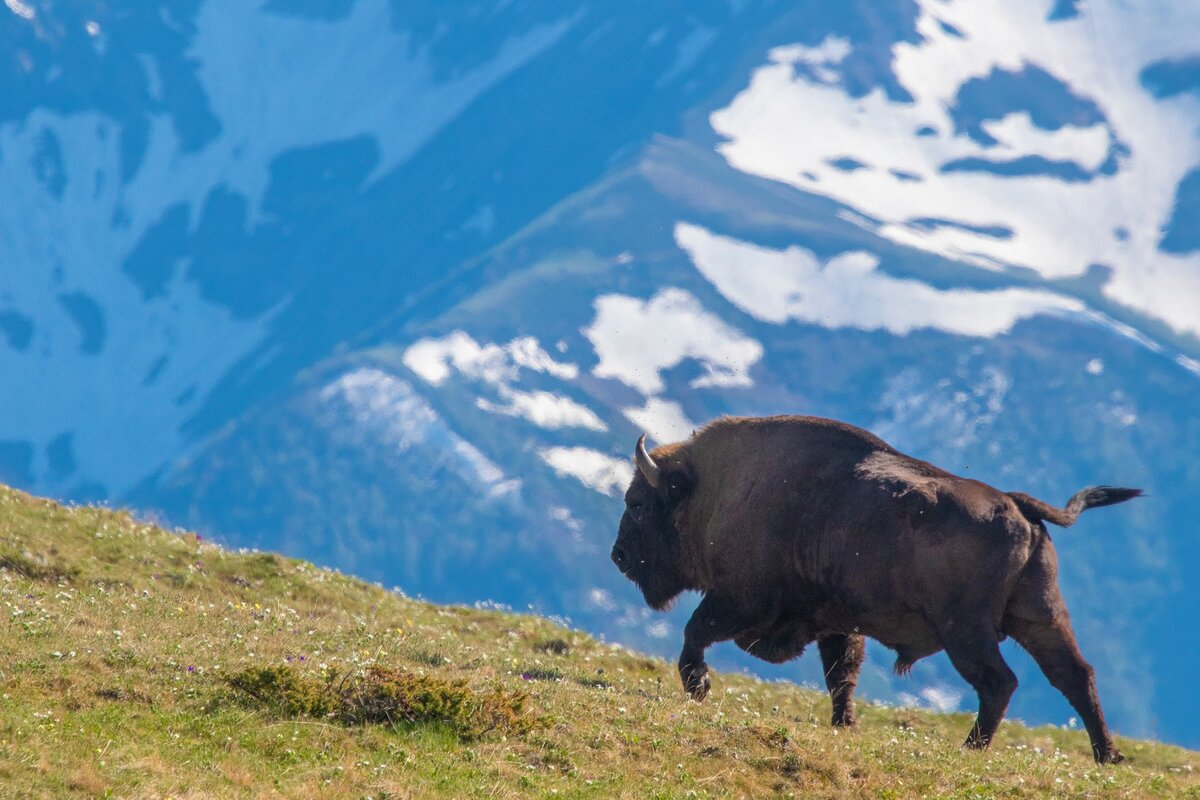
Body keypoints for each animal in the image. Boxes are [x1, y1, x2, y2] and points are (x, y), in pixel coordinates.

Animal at [614, 419, 1137, 762]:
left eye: (637, 503)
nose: (618, 556)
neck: (718, 489)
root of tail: (1016, 505)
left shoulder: (740, 600)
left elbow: (696, 631)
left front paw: (698, 687)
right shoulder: (835, 623)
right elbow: (841, 673)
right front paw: (844, 724)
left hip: (966, 632)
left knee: (1001, 682)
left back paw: (971, 748)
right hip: (1040, 618)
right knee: (1075, 676)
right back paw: (1106, 756)